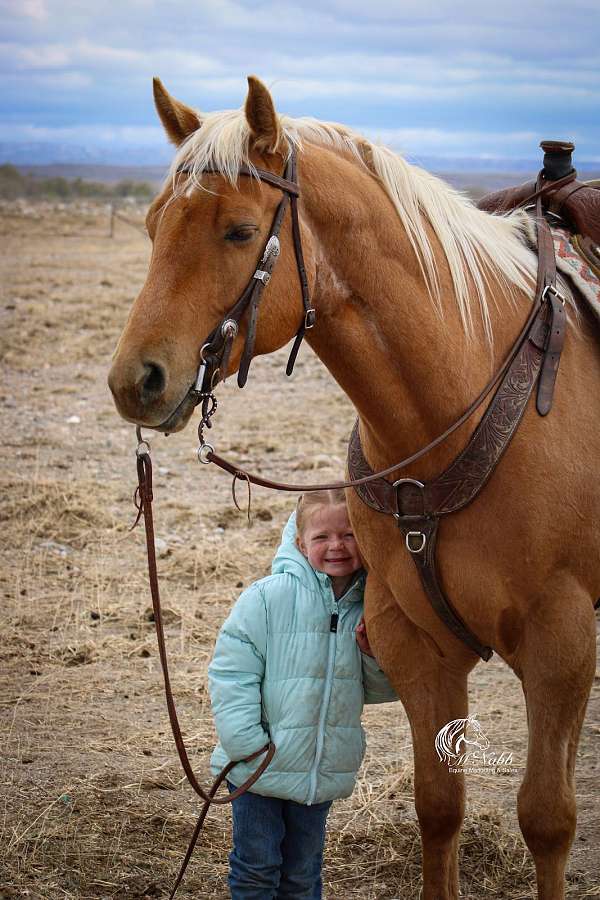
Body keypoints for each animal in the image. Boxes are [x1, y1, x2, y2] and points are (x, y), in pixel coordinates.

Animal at [108, 76, 599, 899]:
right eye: (151, 226)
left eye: (240, 231)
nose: (133, 381)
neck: (461, 404)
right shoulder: (414, 640)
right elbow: (439, 805)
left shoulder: (560, 641)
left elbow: (547, 819)